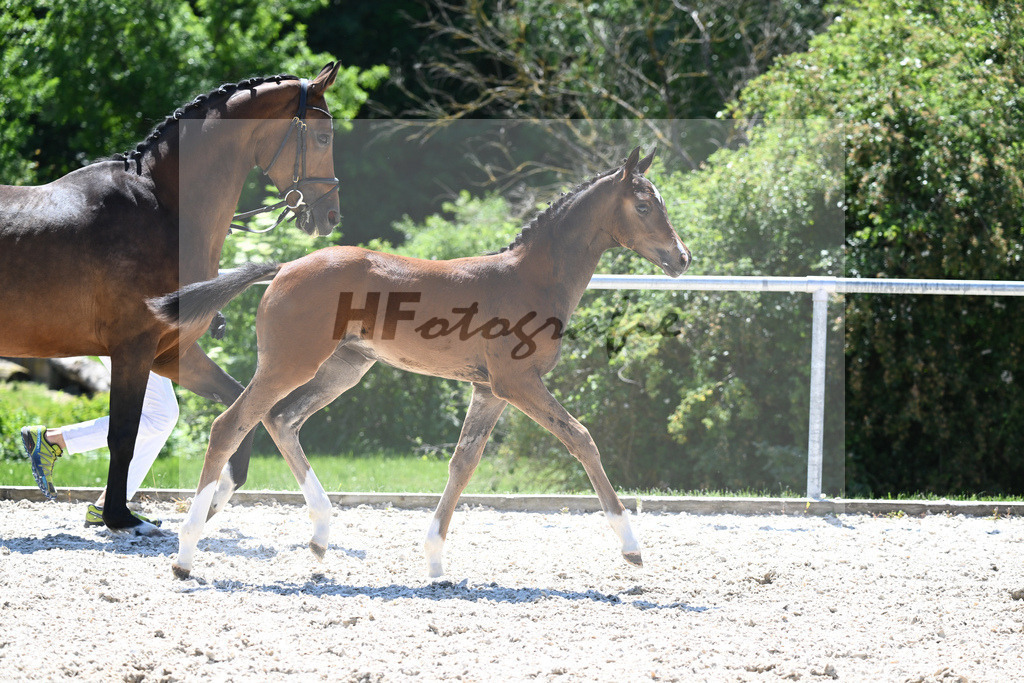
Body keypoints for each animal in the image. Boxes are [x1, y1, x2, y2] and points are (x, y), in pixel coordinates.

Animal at [157, 148, 688, 577]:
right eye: (643, 206)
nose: (681, 257)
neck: (531, 279)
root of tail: (284, 267)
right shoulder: (518, 381)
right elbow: (581, 439)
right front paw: (632, 547)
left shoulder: (489, 389)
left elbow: (463, 462)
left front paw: (434, 560)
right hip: (291, 363)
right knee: (231, 424)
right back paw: (185, 553)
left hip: (344, 368)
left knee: (281, 419)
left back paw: (321, 535)